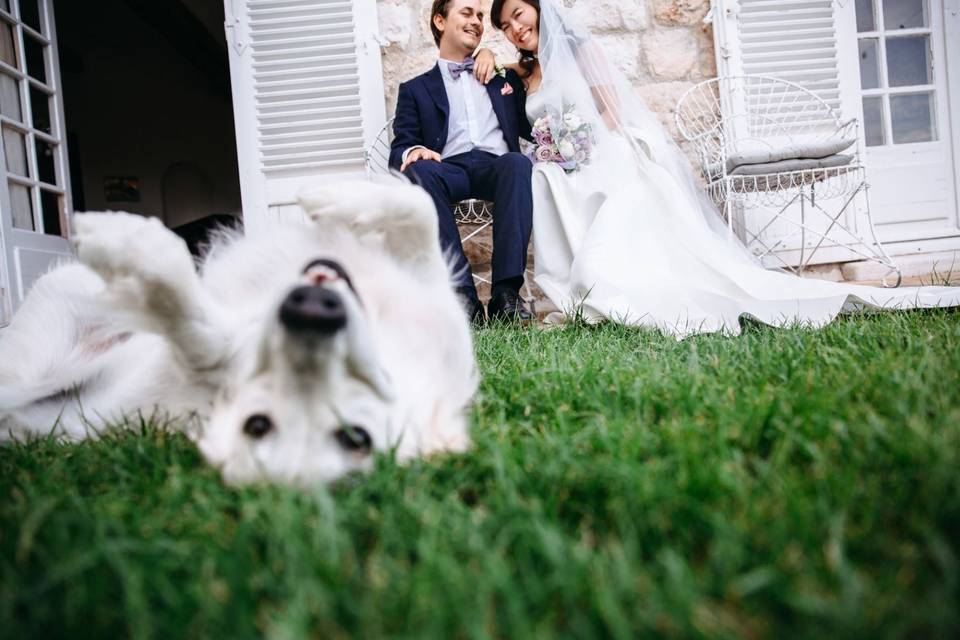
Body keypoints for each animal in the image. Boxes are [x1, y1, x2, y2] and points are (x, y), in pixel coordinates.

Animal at [0, 178, 478, 482]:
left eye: (357, 437)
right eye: (259, 425)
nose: (311, 311)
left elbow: (196, 329)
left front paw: (138, 250)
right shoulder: (433, 293)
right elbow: (419, 205)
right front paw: (332, 196)